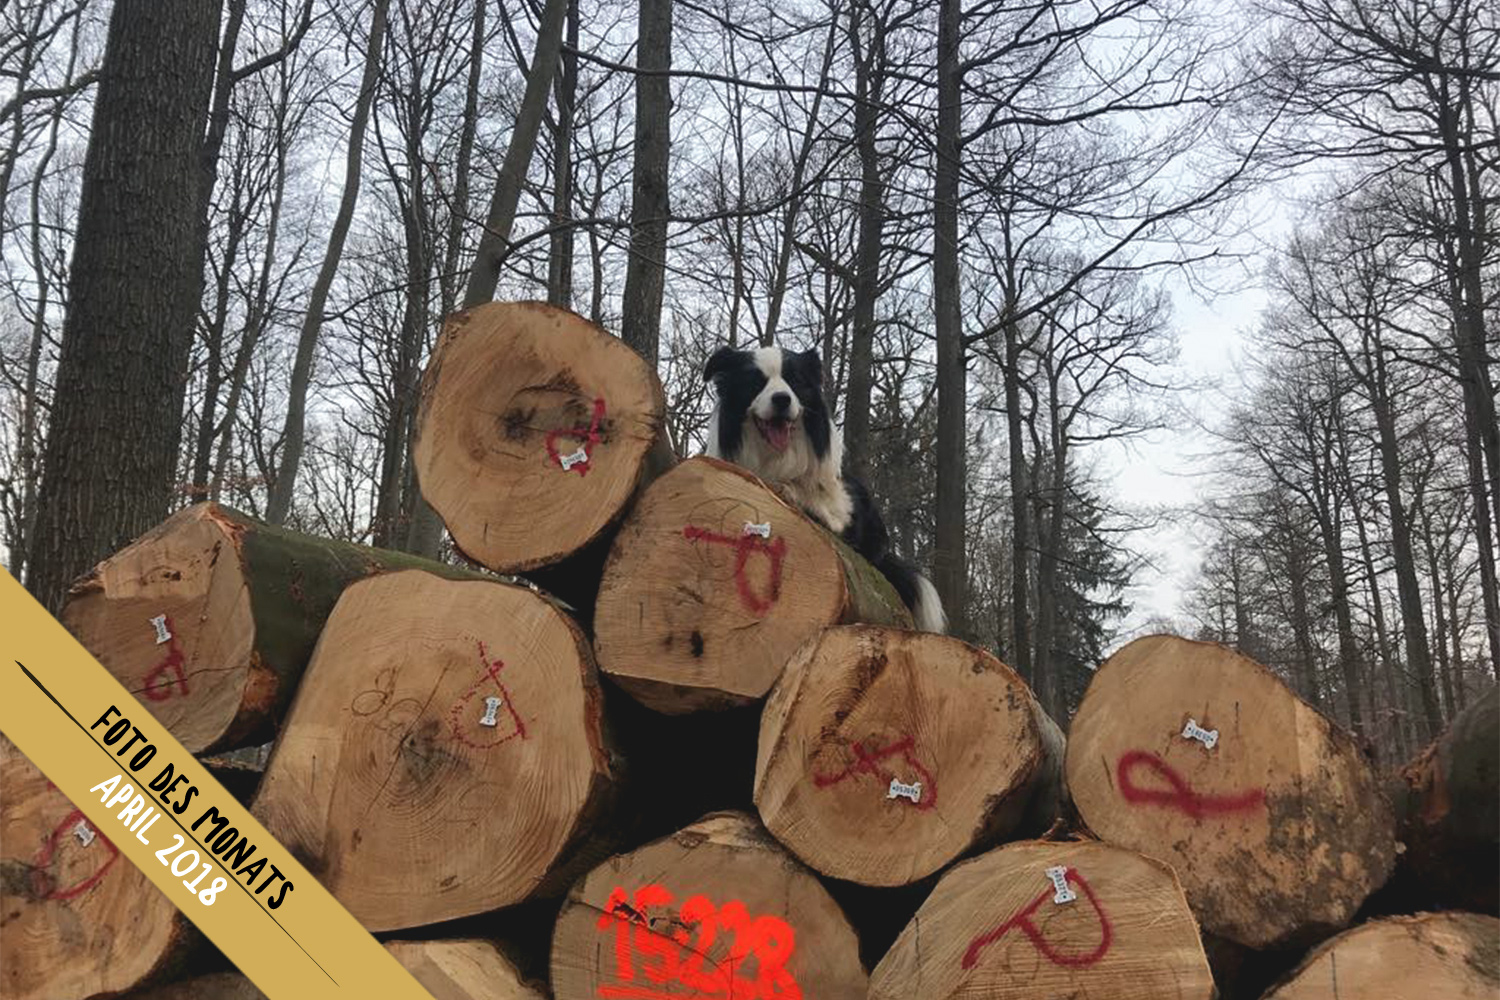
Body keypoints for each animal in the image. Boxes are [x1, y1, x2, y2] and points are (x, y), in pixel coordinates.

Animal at [705, 340, 942, 629]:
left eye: (795, 381)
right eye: (755, 381)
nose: (782, 399)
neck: (776, 459)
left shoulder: (843, 517)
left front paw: (792, 492)